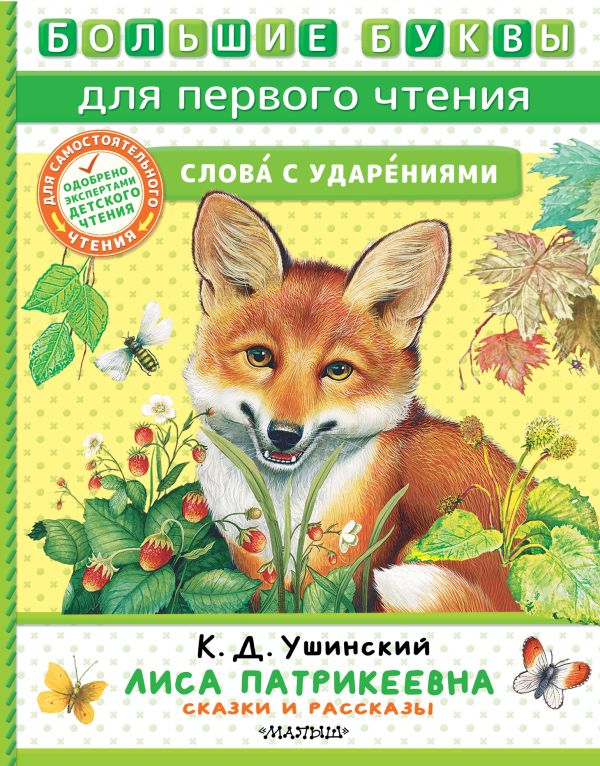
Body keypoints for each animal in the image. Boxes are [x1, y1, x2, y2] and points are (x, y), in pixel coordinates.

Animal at [184, 191, 521, 613]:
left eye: (338, 370)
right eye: (259, 357)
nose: (283, 435)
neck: (284, 503)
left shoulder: (346, 555)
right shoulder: (253, 558)